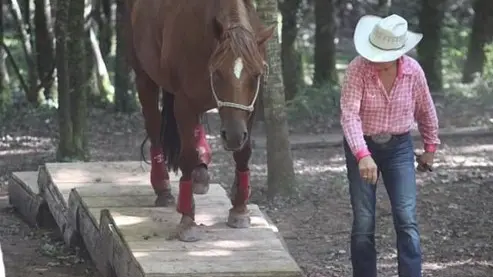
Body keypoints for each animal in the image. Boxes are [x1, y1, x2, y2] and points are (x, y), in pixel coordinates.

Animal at [125, 0, 274, 240]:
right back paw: (163, 186)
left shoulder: (252, 105)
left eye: (255, 75)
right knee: (154, 124)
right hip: (143, 74)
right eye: (218, 73)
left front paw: (239, 209)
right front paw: (187, 220)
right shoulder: (184, 101)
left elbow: (243, 153)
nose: (233, 135)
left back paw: (200, 173)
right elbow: (187, 156)